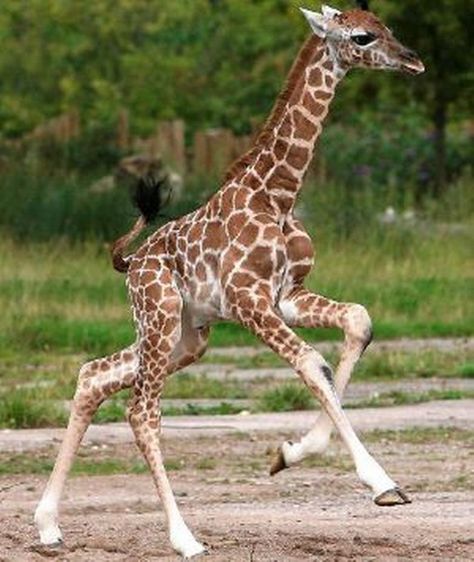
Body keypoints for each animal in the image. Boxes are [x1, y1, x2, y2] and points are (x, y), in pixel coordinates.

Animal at [35, 3, 424, 556]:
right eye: (362, 38)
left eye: (385, 26)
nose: (412, 60)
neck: (277, 194)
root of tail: (133, 263)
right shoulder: (247, 299)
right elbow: (312, 362)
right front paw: (382, 482)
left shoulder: (286, 296)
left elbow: (358, 322)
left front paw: (290, 452)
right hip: (160, 317)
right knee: (141, 411)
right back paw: (185, 538)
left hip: (186, 336)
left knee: (94, 376)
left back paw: (48, 525)